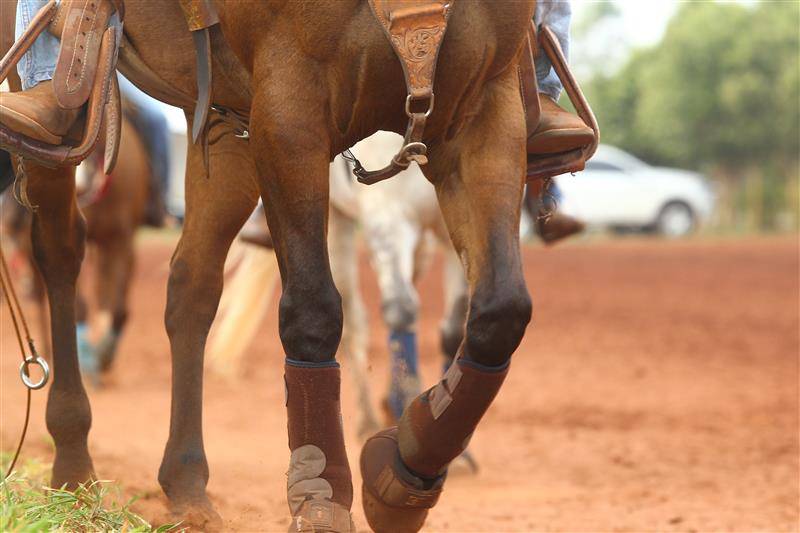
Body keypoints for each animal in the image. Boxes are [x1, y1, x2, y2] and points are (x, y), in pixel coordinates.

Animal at [3, 1, 536, 530]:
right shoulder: (289, 107)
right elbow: (314, 312)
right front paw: (321, 495)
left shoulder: (489, 101)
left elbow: (499, 312)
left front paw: (404, 471)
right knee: (61, 252)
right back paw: (74, 470)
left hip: (224, 116)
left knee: (192, 285)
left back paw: (187, 485)